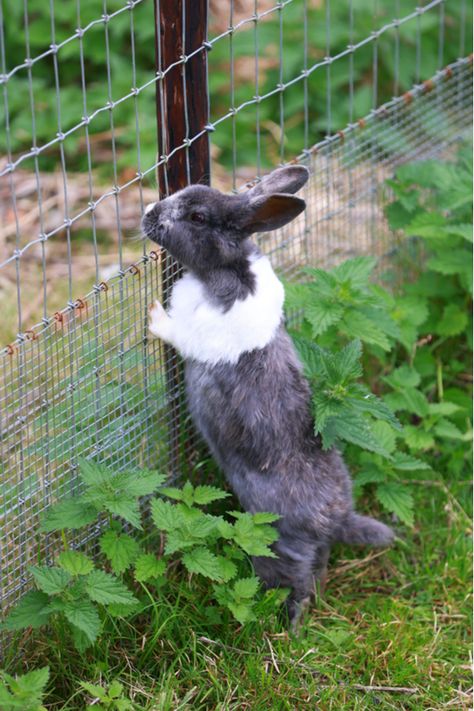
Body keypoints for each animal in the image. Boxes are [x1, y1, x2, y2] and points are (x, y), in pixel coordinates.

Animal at [143, 167, 394, 628]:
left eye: (198, 216)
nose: (149, 212)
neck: (228, 269)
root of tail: (337, 520)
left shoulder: (194, 335)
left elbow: (173, 331)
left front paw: (153, 314)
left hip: (279, 547)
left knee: (296, 580)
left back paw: (287, 624)